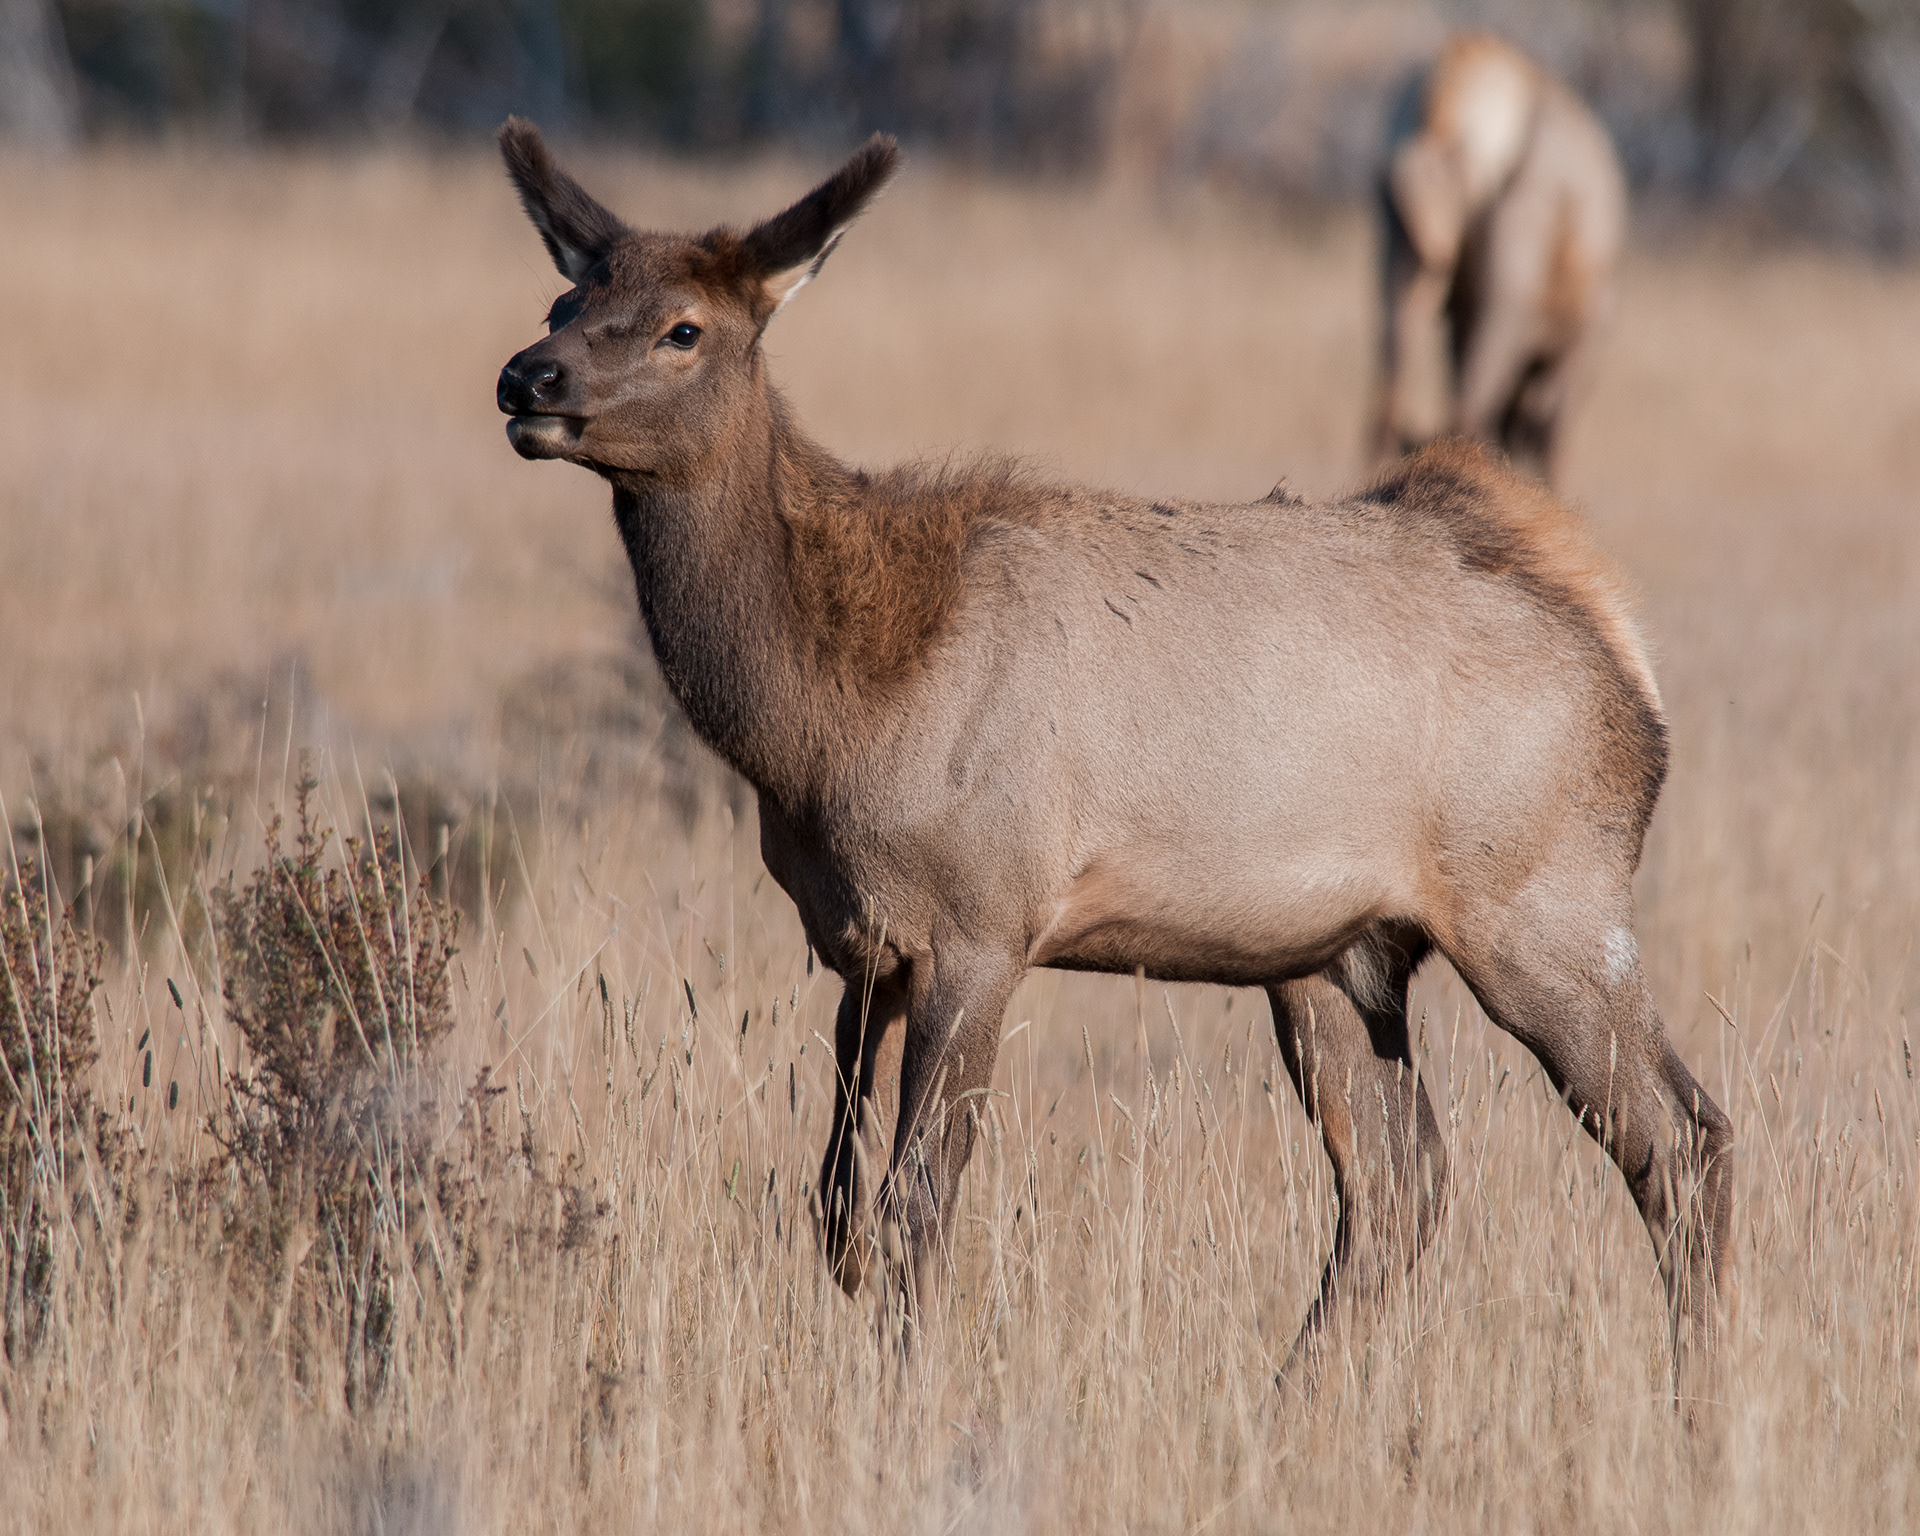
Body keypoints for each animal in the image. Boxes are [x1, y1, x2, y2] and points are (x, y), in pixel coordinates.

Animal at [491, 122, 1728, 1382]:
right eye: (563, 296)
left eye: (684, 326)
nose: (527, 378)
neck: (824, 723)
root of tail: (1617, 645)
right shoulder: (859, 947)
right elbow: (835, 1210)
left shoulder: (983, 923)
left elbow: (916, 1201)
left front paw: (906, 1387)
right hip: (1341, 956)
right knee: (1399, 1182)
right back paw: (1292, 1398)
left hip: (1545, 907)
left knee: (1682, 1141)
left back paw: (1695, 1396)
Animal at [1374, 34, 1628, 485]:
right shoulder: (1586, 340)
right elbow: (1553, 434)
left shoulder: (1460, 316)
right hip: (1513, 283)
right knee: (1471, 411)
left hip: (1399, 249)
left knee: (1388, 399)